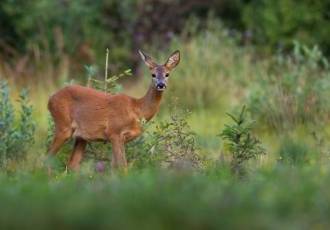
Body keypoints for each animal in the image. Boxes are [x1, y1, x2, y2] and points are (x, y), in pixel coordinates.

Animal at [47, 50, 179, 172]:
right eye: (153, 74)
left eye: (167, 74)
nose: (161, 85)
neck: (137, 109)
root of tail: (50, 99)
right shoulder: (114, 132)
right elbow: (122, 167)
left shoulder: (120, 139)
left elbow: (114, 167)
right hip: (63, 126)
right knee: (46, 158)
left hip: (81, 137)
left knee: (71, 165)